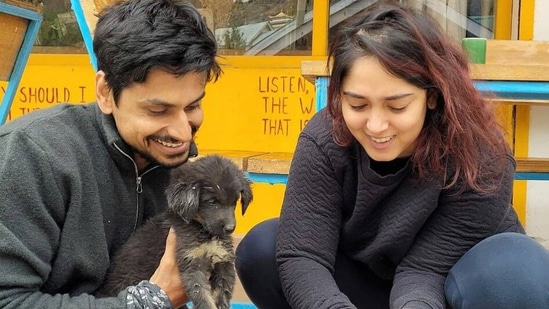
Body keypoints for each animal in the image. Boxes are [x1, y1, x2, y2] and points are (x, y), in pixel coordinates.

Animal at [97, 155, 253, 306]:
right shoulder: (191, 265)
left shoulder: (223, 261)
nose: (230, 228)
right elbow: (205, 300)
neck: (204, 232)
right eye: (212, 201)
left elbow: (222, 296)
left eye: (234, 202)